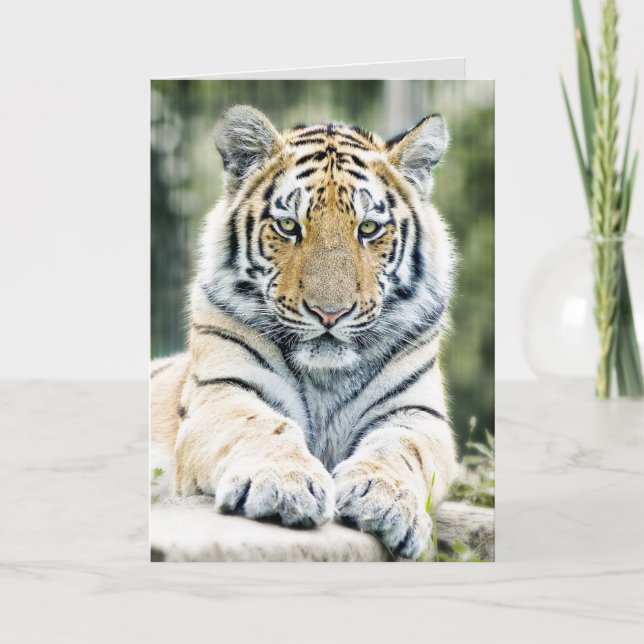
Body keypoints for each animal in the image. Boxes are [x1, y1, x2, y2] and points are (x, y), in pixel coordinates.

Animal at [151, 104, 457, 560]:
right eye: (289, 226)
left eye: (368, 229)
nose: (330, 313)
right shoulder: (223, 392)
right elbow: (263, 426)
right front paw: (283, 486)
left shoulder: (417, 413)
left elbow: (400, 449)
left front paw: (383, 499)